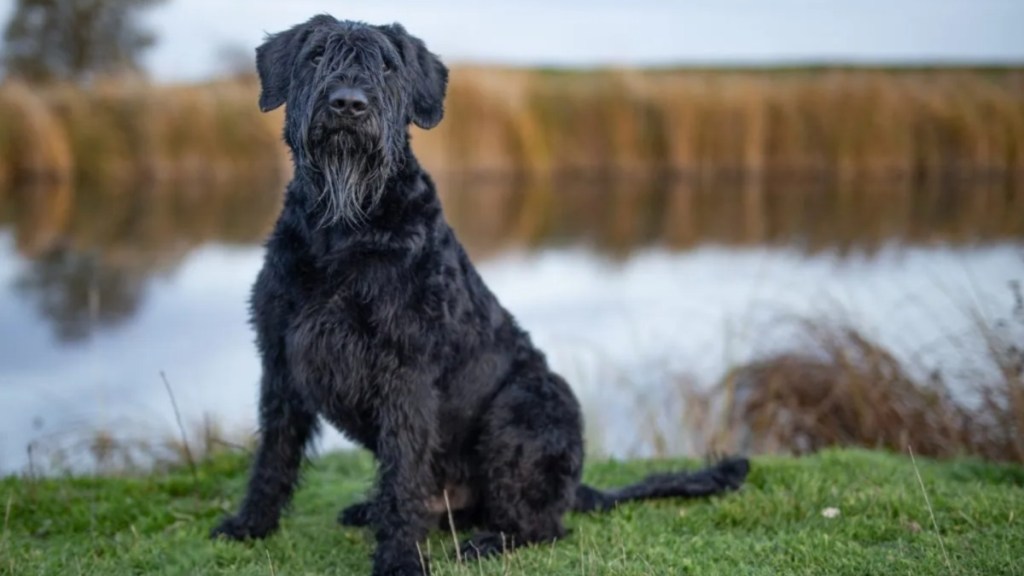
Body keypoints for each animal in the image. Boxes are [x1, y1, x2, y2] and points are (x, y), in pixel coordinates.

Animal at [211, 15, 749, 569]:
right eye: (317, 55)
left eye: (387, 65)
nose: (348, 103)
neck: (343, 228)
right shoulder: (280, 359)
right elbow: (274, 454)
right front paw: (251, 523)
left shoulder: (405, 372)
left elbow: (404, 473)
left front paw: (399, 557)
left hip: (524, 408)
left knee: (541, 524)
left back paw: (487, 541)